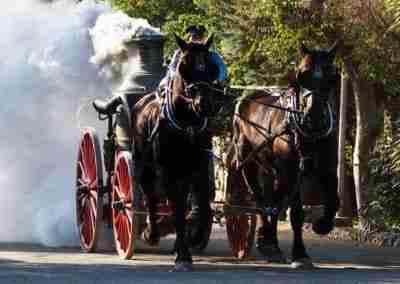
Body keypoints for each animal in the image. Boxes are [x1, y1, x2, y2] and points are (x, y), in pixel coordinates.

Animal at [130, 33, 219, 270]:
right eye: (184, 67)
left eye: (211, 67)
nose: (204, 103)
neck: (185, 123)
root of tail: (140, 102)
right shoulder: (168, 171)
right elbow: (176, 209)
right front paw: (183, 256)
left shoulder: (199, 167)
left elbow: (201, 205)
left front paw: (194, 236)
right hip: (145, 165)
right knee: (150, 196)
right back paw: (152, 233)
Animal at [228, 41, 340, 268]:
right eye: (302, 74)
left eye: (331, 75)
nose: (314, 115)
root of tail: (247, 97)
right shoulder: (292, 169)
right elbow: (295, 212)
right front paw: (299, 253)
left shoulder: (327, 168)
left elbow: (333, 200)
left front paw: (322, 225)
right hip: (248, 161)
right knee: (260, 199)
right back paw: (268, 241)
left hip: (270, 168)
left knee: (273, 199)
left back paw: (270, 240)